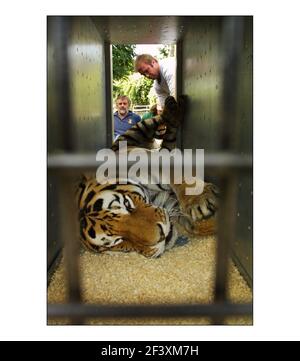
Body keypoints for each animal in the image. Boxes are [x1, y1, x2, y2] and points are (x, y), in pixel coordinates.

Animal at [77, 95, 218, 256]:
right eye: (117, 242)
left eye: (127, 204)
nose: (162, 236)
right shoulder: (171, 204)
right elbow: (195, 226)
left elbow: (177, 176)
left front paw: (197, 200)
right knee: (170, 136)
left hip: (137, 130)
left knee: (159, 119)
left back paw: (172, 104)